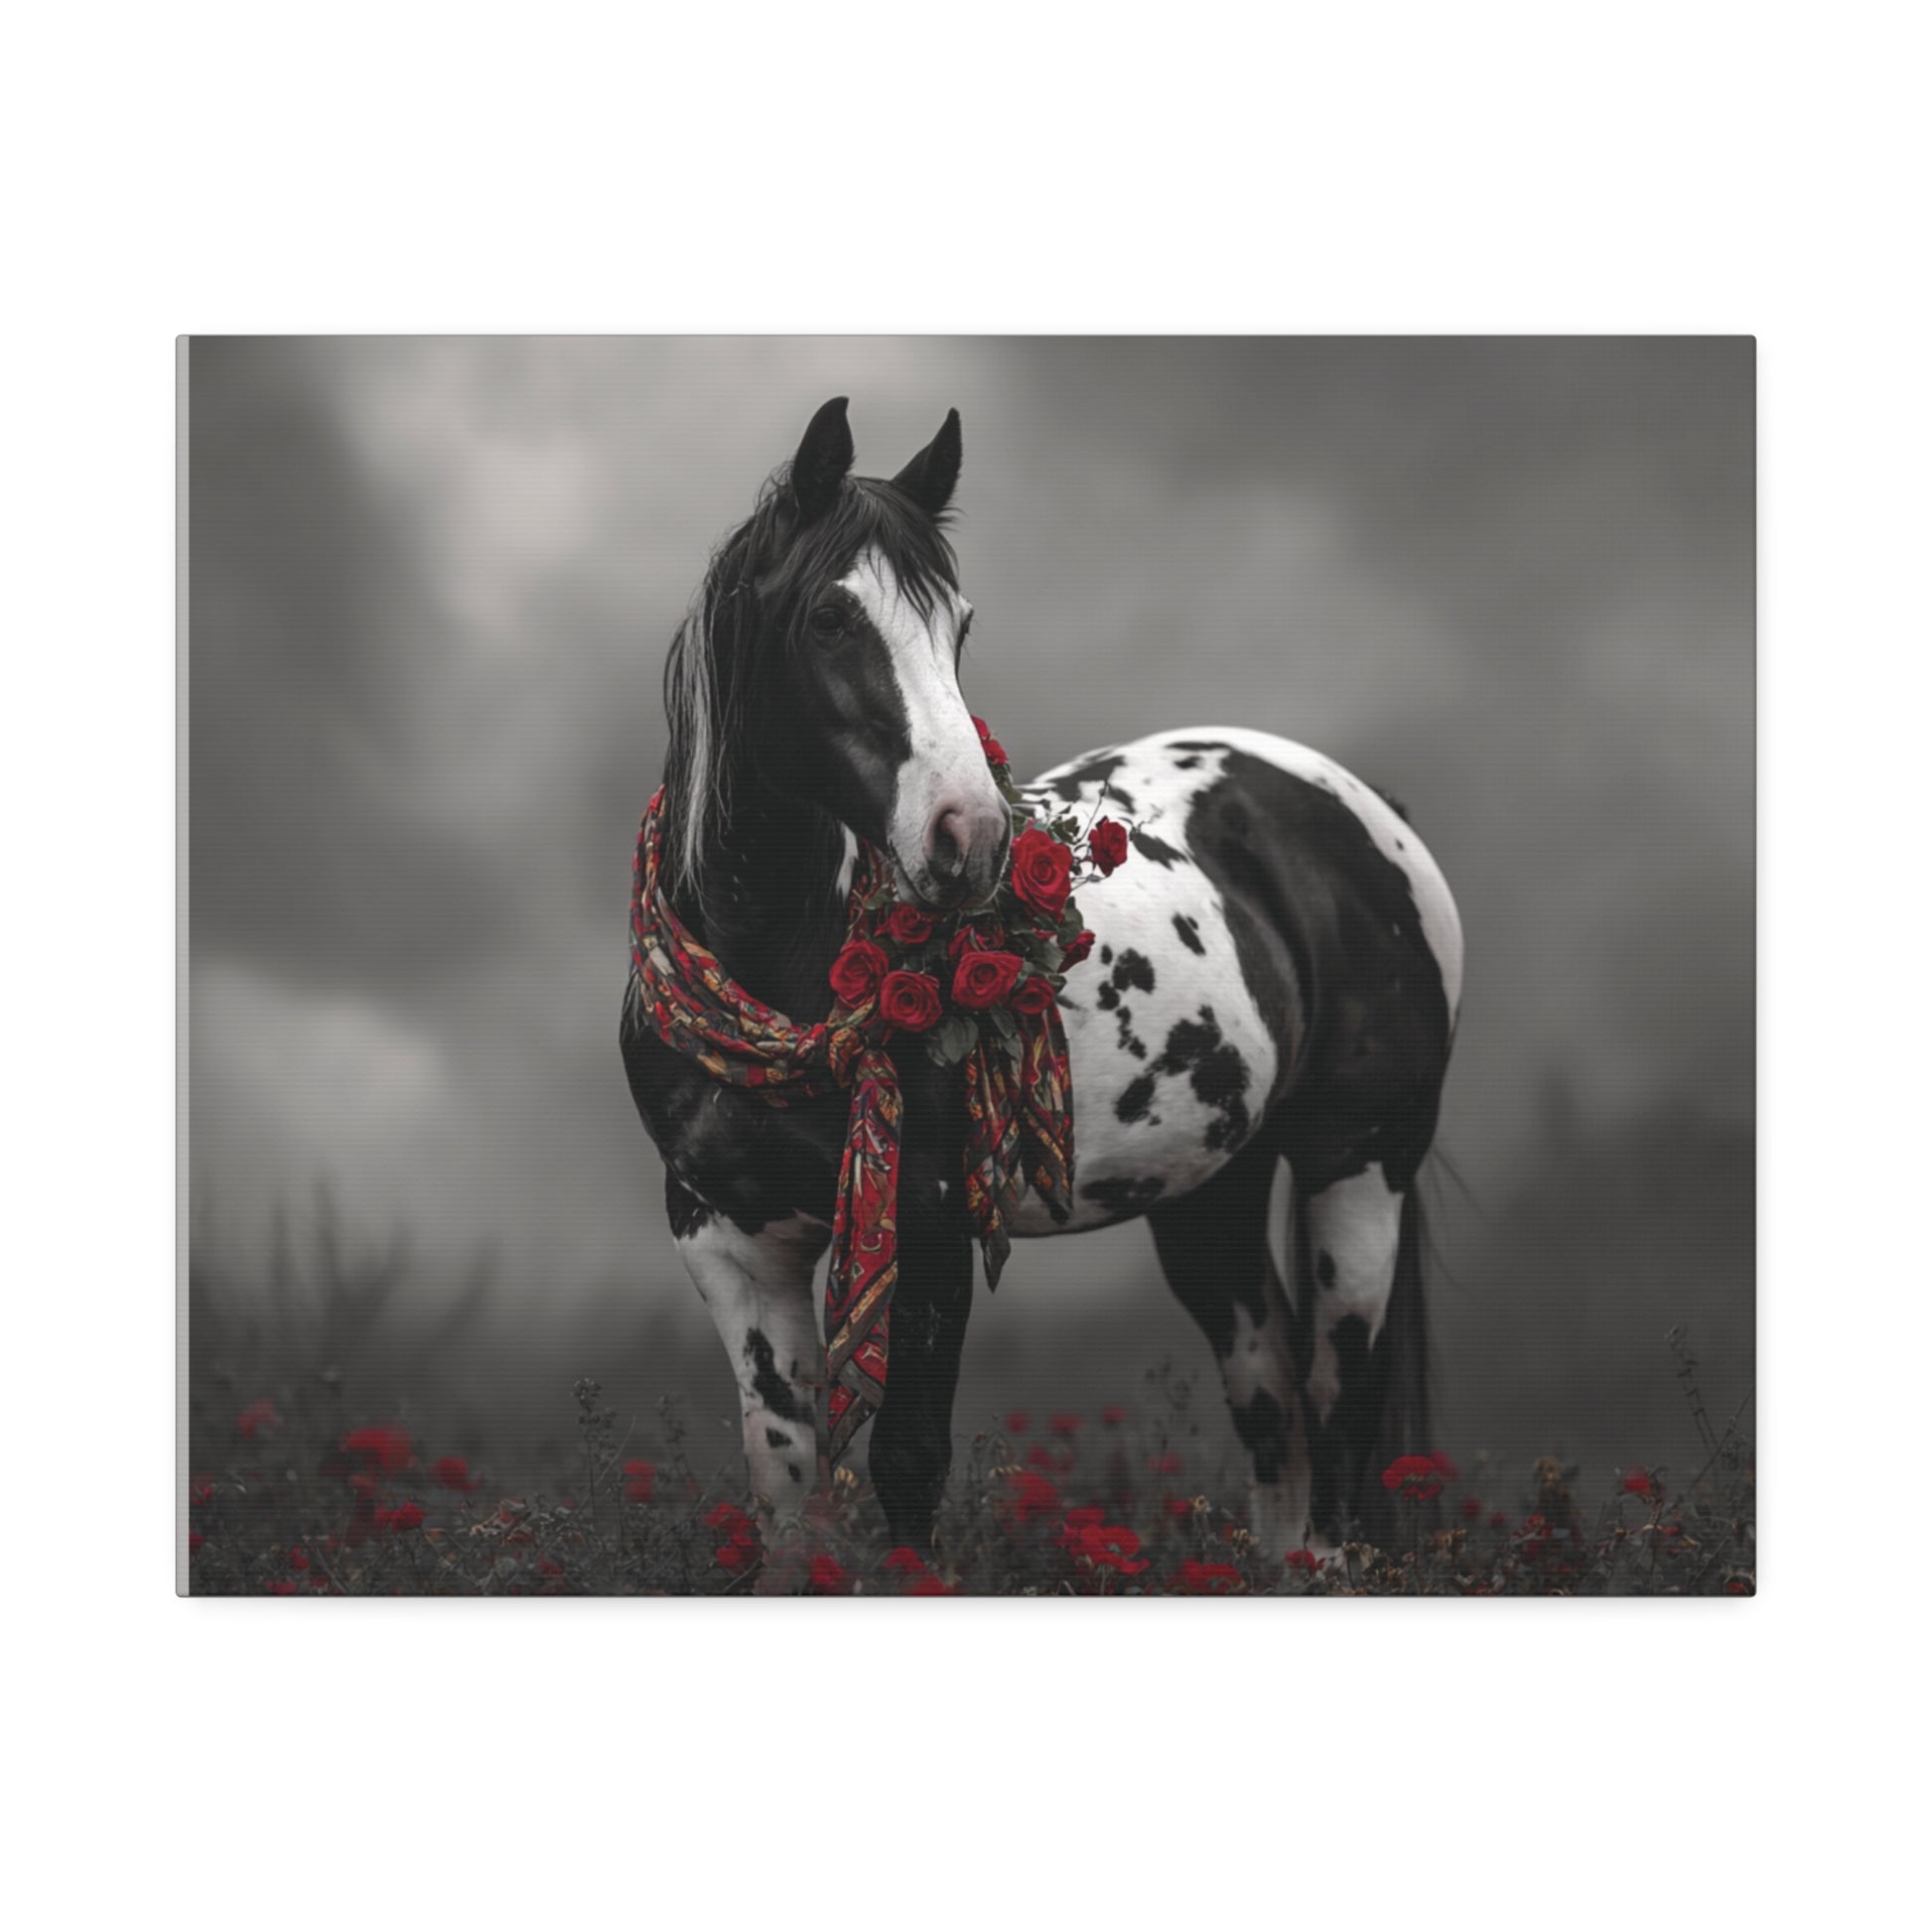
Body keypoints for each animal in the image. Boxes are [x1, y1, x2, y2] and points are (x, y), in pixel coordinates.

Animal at [620, 396, 1463, 1572]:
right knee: (1274, 1410)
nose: (968, 839)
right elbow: (787, 1491)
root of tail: (1360, 805)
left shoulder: (928, 1221)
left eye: (959, 626)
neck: (775, 974)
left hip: (1358, 1165)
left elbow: (908, 1465)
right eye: (830, 618)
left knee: (1340, 1409)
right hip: (1210, 1196)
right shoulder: (727, 1238)